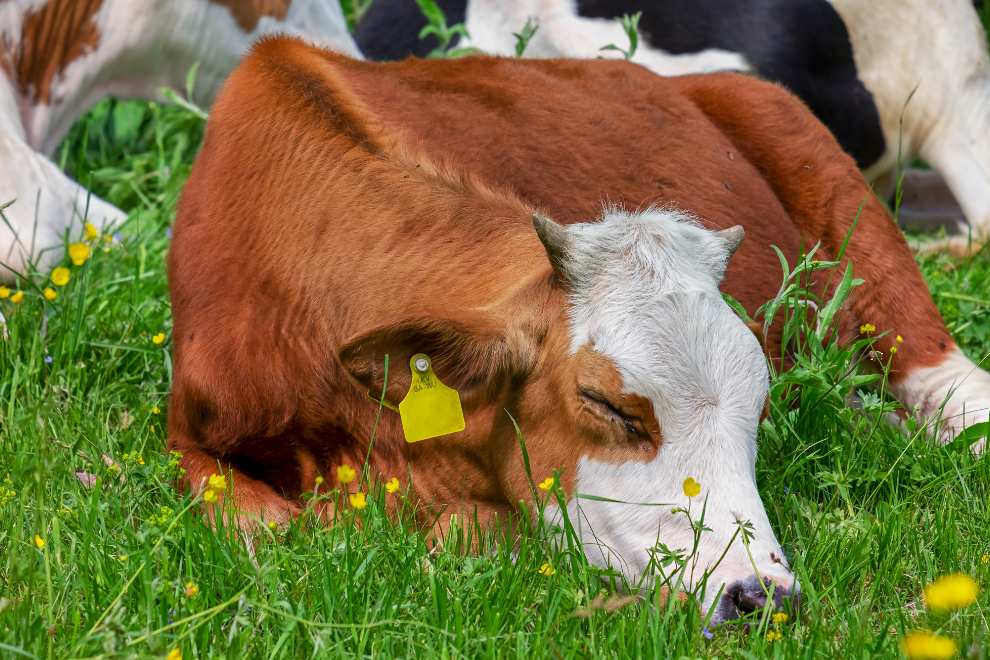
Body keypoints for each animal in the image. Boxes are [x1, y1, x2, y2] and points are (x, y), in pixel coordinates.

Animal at [167, 40, 990, 624]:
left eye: (758, 409)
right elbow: (265, 528)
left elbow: (463, 531)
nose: (760, 596)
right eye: (609, 406)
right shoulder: (185, 433)